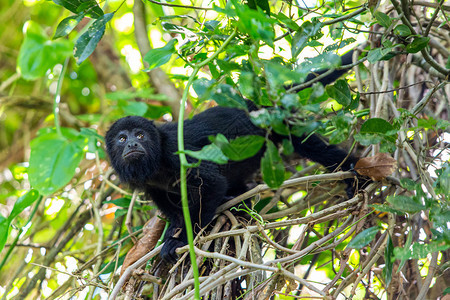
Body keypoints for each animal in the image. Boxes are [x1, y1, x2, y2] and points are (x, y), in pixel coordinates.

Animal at [104, 50, 358, 262]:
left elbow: (212, 185)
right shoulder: (151, 185)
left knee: (317, 149)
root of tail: (260, 103)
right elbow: (175, 211)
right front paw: (171, 233)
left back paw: (354, 174)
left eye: (140, 134)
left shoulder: (175, 152)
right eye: (122, 138)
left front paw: (181, 240)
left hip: (281, 121)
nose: (133, 144)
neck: (156, 165)